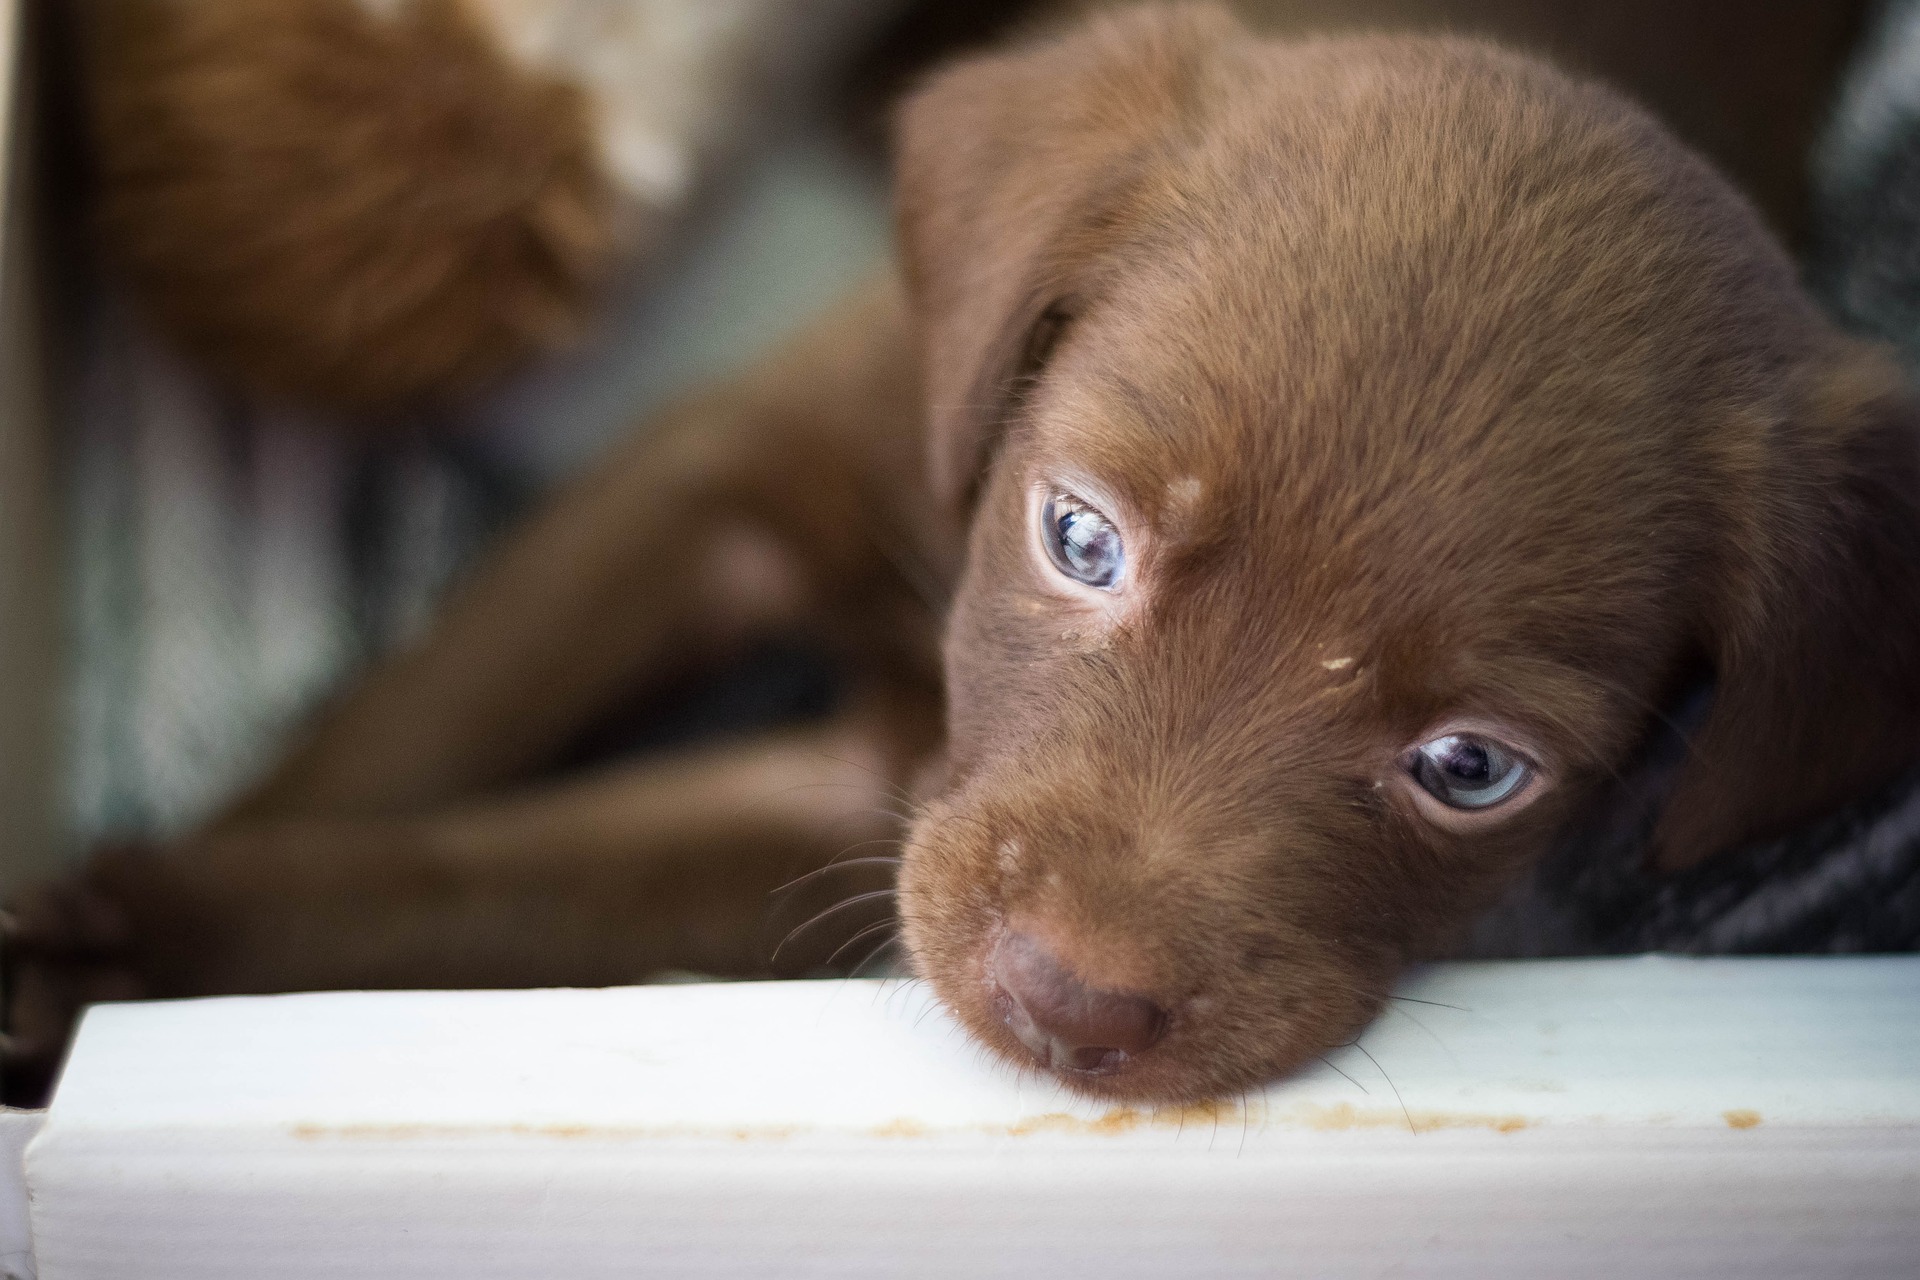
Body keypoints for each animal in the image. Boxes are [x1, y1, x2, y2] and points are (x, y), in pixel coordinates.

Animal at [15, 2, 1920, 1113]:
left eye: (1471, 768)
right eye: (1081, 538)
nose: (1071, 1004)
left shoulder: (841, 809)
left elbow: (480, 887)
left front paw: (122, 957)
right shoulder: (719, 479)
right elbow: (407, 733)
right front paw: (108, 937)